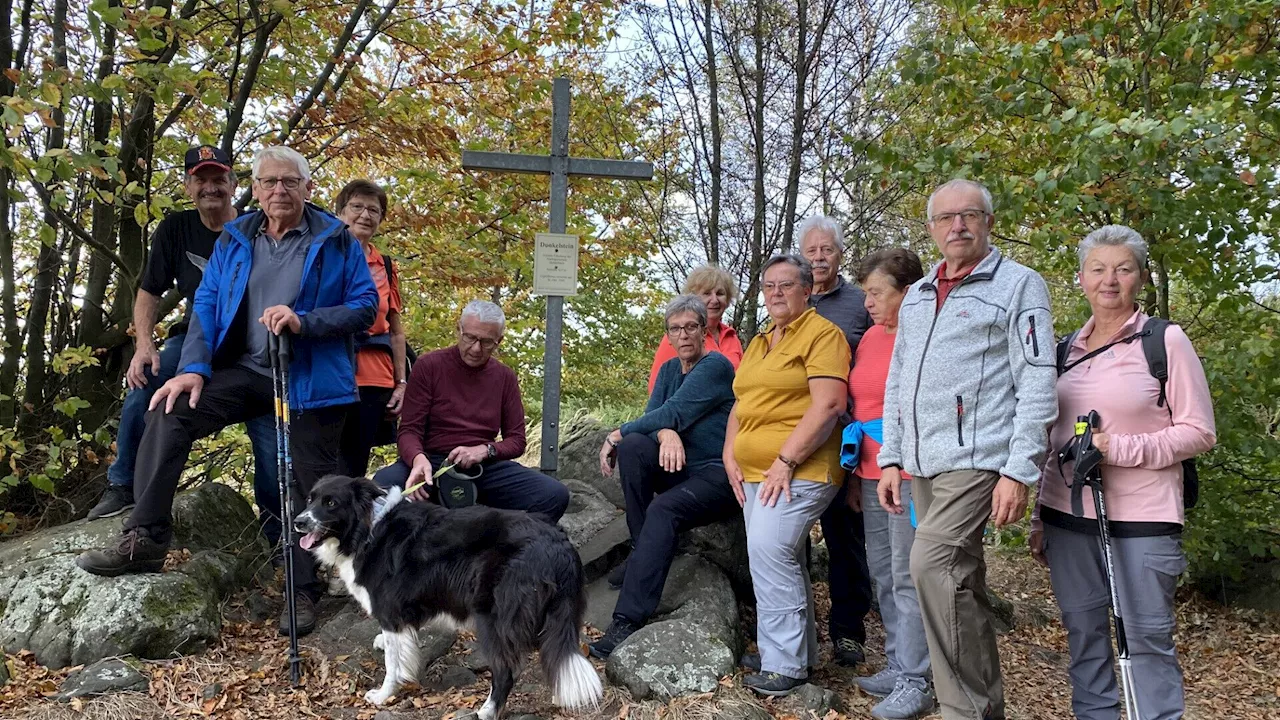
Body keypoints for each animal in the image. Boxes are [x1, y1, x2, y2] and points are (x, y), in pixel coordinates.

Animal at [293, 474, 601, 712]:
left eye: (331, 503)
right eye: (310, 500)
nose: (298, 522)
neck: (367, 528)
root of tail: (560, 544)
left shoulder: (391, 612)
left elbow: (393, 664)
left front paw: (382, 695)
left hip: (493, 618)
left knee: (506, 671)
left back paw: (487, 711)